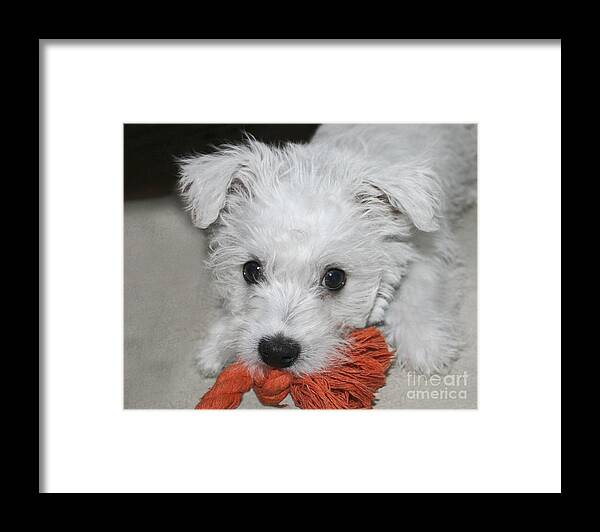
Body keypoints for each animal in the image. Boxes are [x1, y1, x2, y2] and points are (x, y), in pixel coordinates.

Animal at [176, 124, 476, 376]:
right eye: (250, 271)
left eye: (334, 278)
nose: (276, 352)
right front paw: (218, 343)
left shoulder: (429, 248)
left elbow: (418, 292)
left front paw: (424, 344)